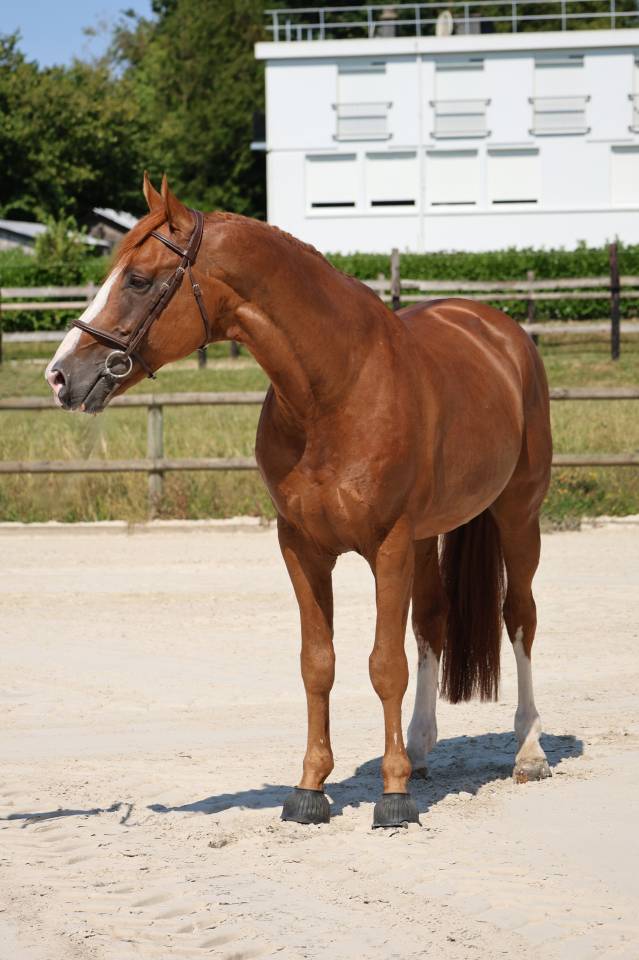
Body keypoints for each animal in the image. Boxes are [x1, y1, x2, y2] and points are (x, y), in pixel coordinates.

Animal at [45, 174, 552, 828]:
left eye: (137, 279)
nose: (61, 375)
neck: (336, 389)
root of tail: (499, 329)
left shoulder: (388, 544)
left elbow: (383, 665)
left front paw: (393, 796)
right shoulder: (303, 548)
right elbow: (319, 663)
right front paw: (311, 788)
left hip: (518, 515)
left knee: (520, 617)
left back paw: (528, 749)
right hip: (428, 536)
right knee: (432, 623)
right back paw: (419, 748)